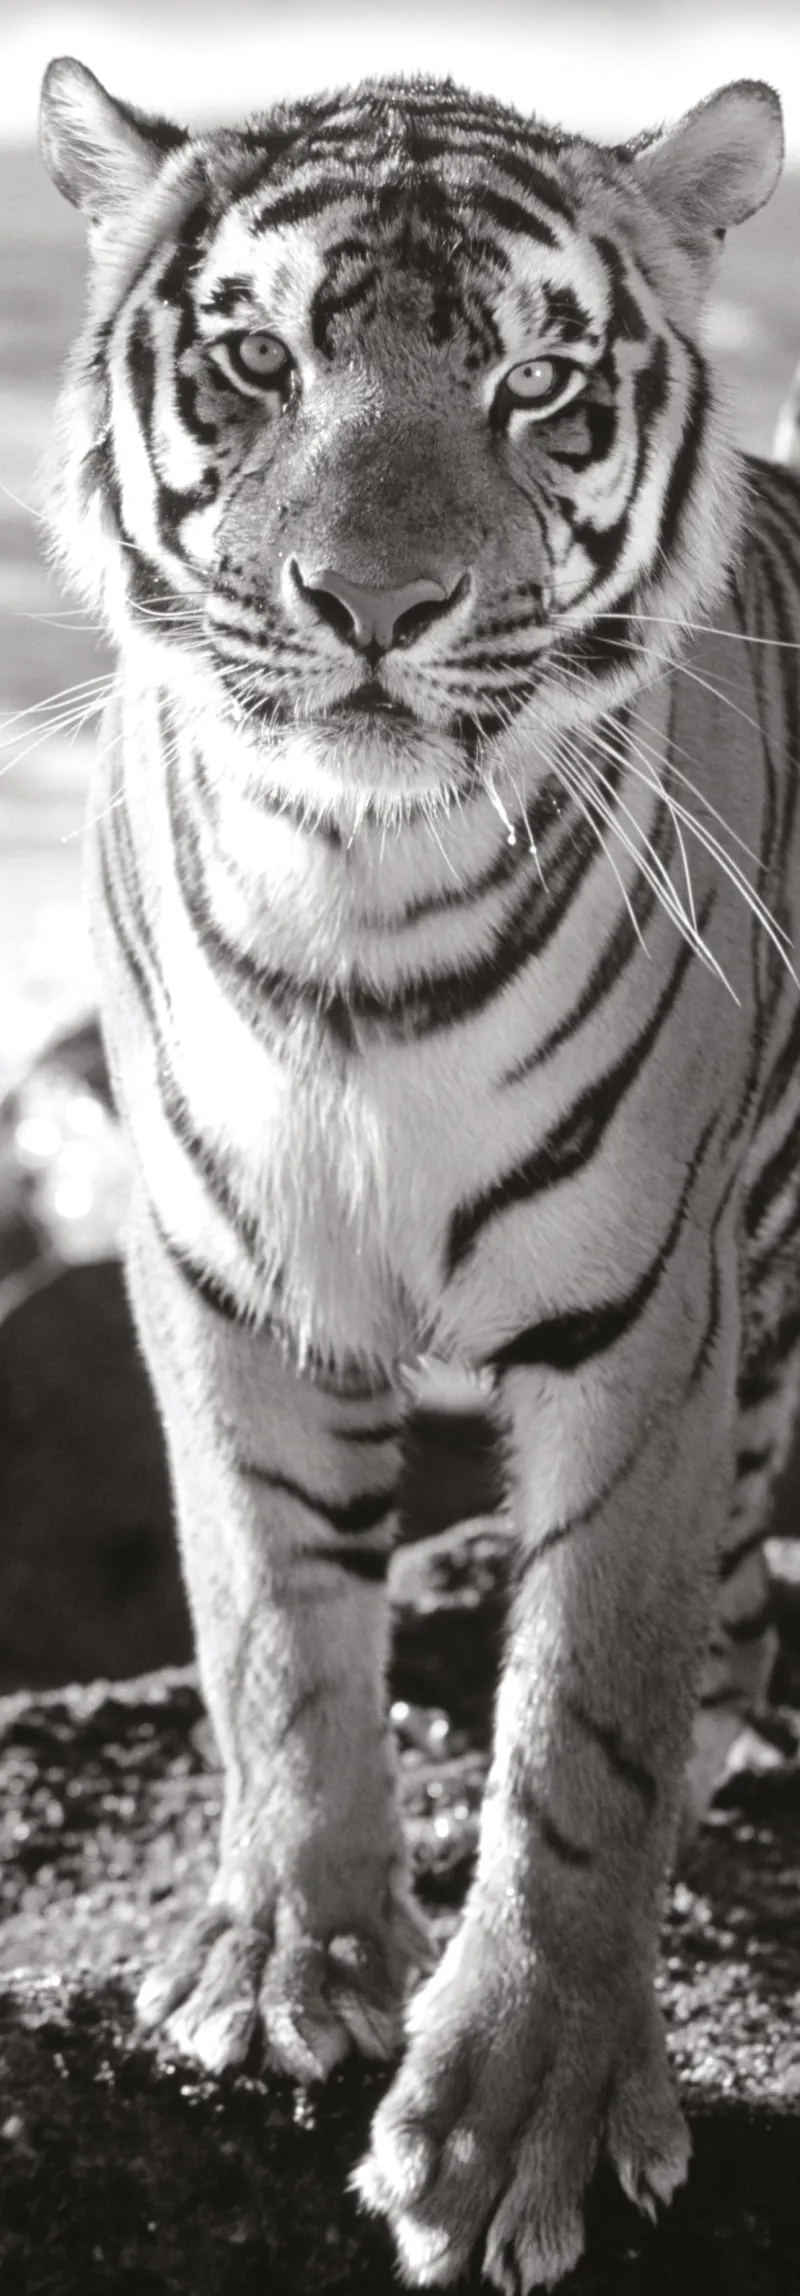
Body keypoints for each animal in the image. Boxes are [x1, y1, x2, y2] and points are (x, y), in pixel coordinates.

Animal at [38, 55, 799, 2294]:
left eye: (538, 384)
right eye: (254, 362)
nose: (373, 612)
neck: (352, 900)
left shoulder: (643, 1318)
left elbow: (583, 1727)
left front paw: (522, 2107)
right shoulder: (212, 1275)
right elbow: (274, 1634)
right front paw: (284, 1965)